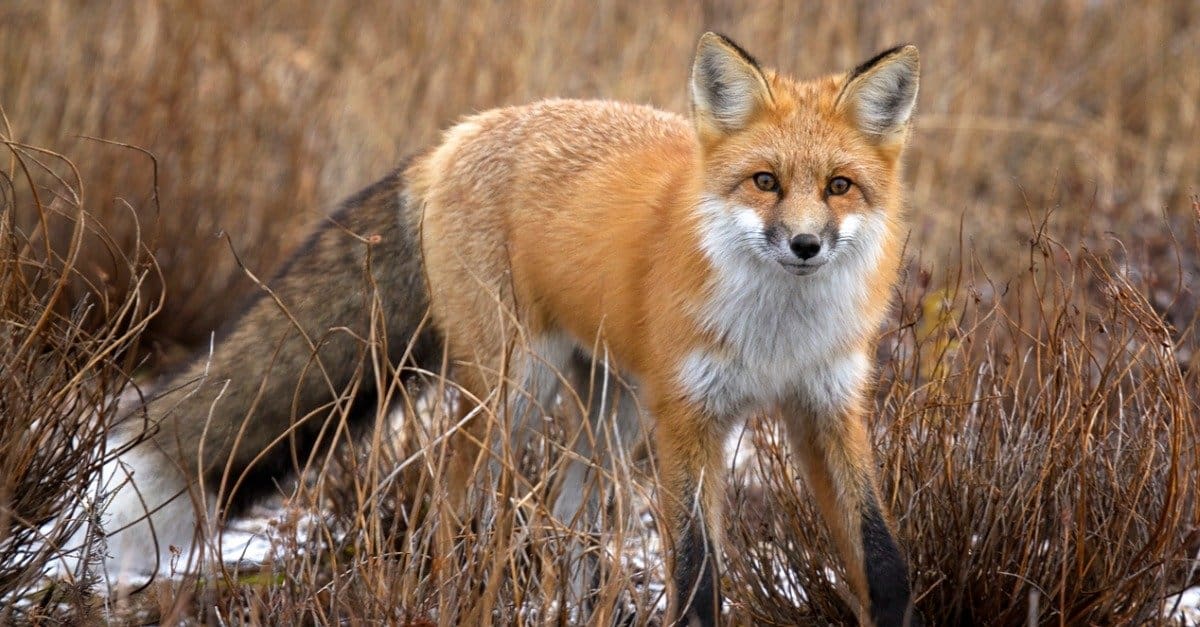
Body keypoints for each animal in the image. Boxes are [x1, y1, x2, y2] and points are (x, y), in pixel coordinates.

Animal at [69, 33, 921, 626]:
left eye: (839, 186)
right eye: (765, 182)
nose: (805, 244)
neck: (779, 329)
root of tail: (457, 136)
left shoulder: (824, 406)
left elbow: (881, 555)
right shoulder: (690, 419)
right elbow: (697, 571)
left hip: (606, 410)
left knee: (570, 518)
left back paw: (574, 608)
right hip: (513, 391)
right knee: (451, 501)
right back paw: (453, 599)